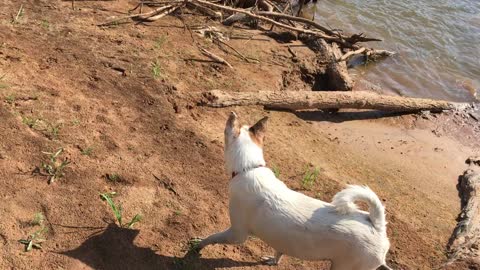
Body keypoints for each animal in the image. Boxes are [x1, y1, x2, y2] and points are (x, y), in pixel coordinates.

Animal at [197, 112, 392, 270]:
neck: (249, 167)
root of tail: (377, 225)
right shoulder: (281, 239)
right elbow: (280, 250)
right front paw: (274, 260)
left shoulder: (236, 234)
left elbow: (212, 237)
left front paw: (198, 243)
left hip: (345, 267)